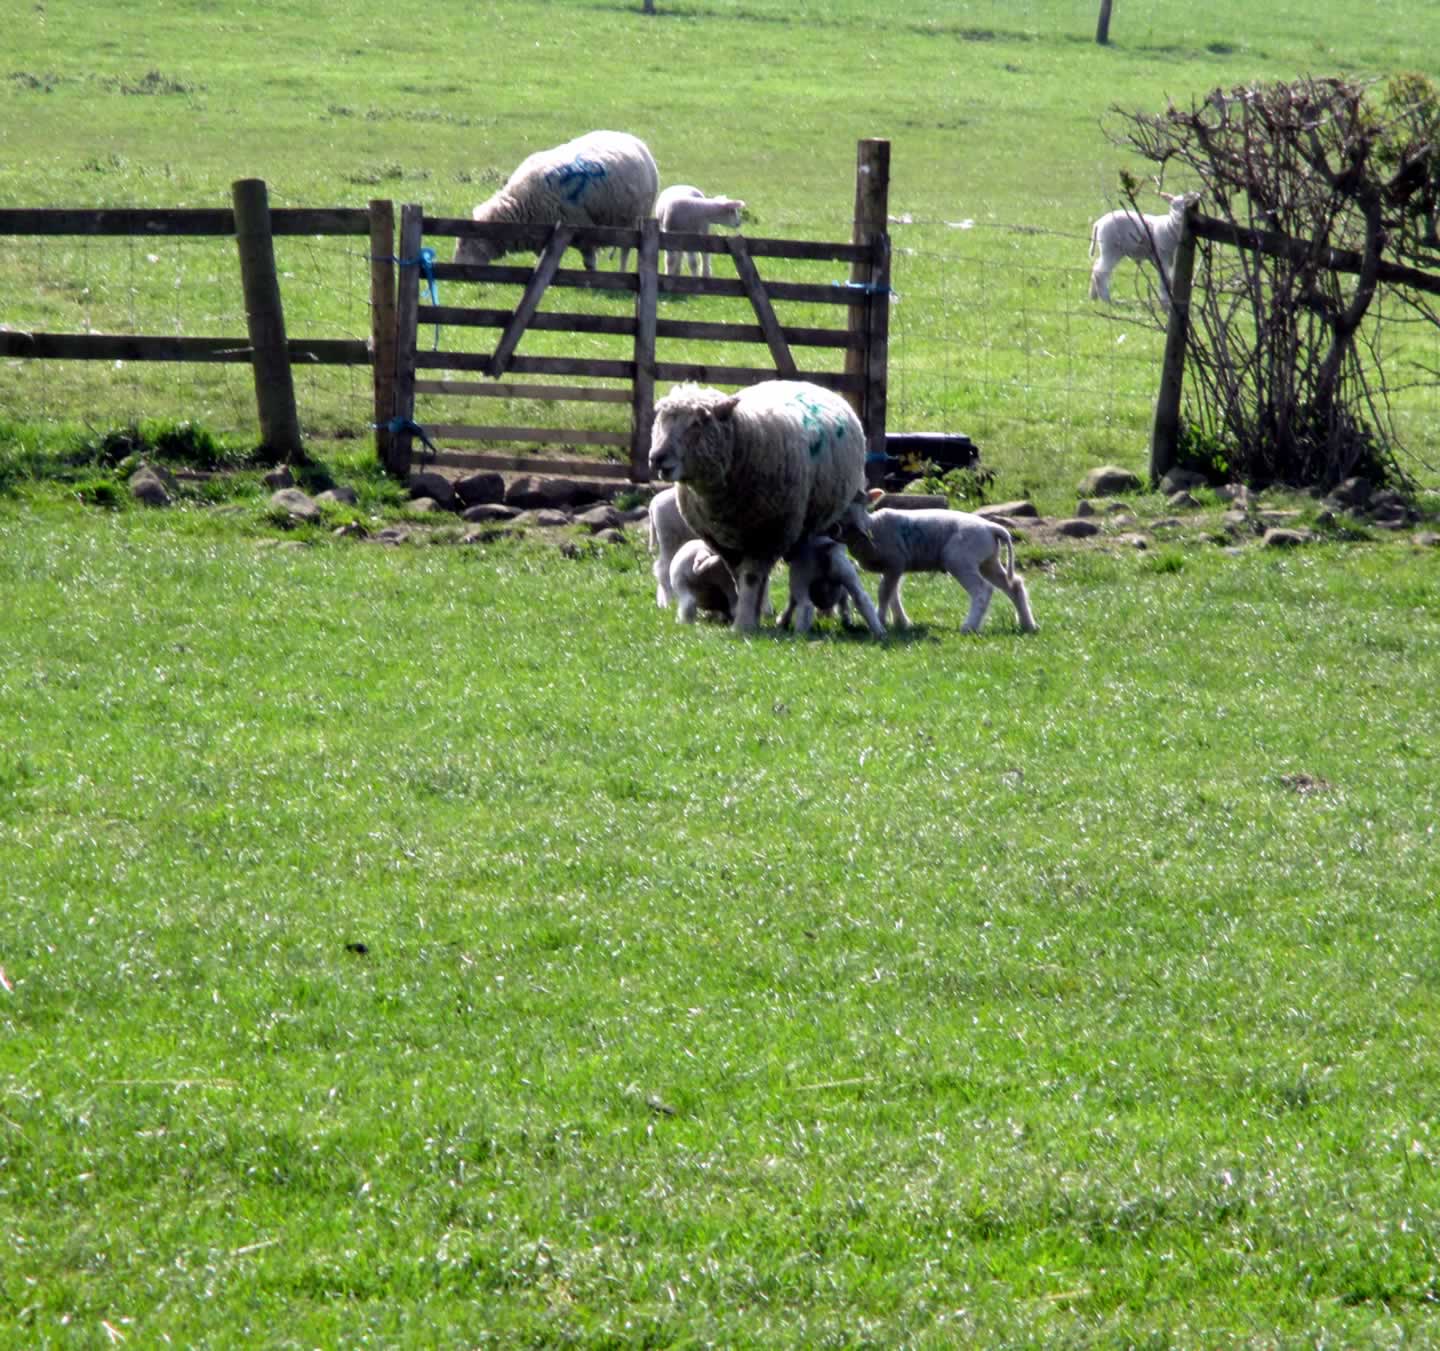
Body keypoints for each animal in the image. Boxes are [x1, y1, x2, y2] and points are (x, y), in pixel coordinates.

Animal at [455, 128, 659, 270]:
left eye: (466, 243)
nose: (456, 266)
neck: (523, 204)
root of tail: (633, 139)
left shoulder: (582, 229)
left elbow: (589, 262)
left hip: (635, 219)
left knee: (625, 251)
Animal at [650, 380, 864, 630]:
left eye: (697, 423)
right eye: (660, 421)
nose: (656, 457)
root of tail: (807, 382)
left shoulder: (767, 535)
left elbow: (751, 578)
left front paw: (744, 624)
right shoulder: (723, 543)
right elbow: (737, 578)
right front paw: (746, 614)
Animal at [840, 489, 1042, 636]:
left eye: (860, 504)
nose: (857, 527)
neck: (872, 526)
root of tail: (993, 528)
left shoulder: (895, 563)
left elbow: (884, 594)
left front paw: (881, 620)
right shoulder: (892, 568)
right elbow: (893, 595)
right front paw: (901, 622)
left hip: (960, 559)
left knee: (982, 590)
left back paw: (969, 627)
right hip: (988, 561)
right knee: (1014, 586)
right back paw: (1028, 624)